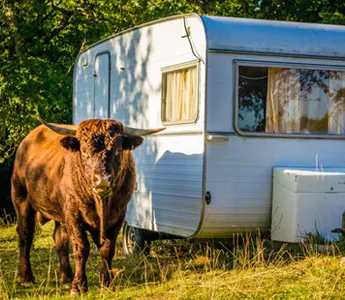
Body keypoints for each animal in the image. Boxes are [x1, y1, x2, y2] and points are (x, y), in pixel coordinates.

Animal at [11, 116, 165, 292]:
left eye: (118, 150)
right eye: (84, 151)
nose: (102, 180)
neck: (101, 204)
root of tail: (26, 141)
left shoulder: (118, 216)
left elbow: (107, 249)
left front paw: (106, 282)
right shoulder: (74, 215)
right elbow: (81, 248)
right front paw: (78, 286)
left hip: (60, 213)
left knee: (60, 240)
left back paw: (66, 278)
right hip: (21, 199)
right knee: (25, 234)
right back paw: (26, 277)